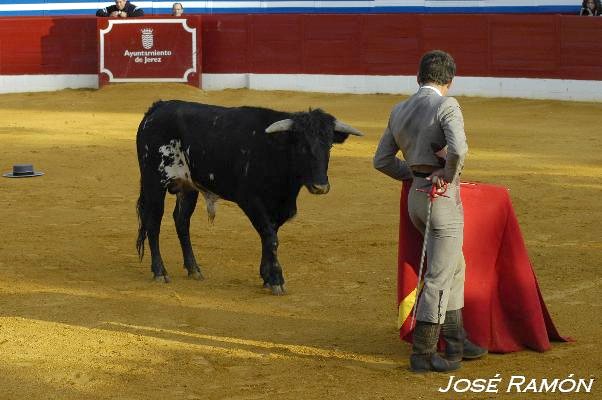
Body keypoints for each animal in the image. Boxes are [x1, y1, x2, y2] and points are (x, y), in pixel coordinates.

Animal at [136, 100, 360, 294]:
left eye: (329, 145)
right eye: (301, 146)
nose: (320, 186)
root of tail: (158, 107)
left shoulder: (277, 207)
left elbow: (269, 236)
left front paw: (267, 276)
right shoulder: (250, 200)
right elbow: (270, 237)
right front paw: (276, 279)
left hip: (188, 187)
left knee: (181, 221)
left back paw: (194, 269)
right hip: (154, 182)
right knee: (153, 223)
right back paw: (160, 271)